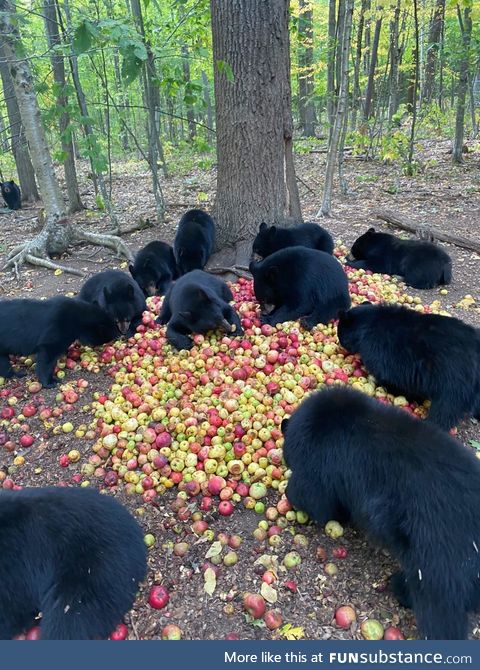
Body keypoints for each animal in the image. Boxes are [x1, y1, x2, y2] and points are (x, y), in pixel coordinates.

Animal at [284, 384, 480, 640]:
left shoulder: (322, 464)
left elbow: (315, 499)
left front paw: (293, 496)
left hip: (440, 559)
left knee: (438, 611)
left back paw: (401, 590)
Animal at [338, 304, 480, 430]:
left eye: (340, 335)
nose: (341, 344)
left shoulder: (383, 353)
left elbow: (392, 380)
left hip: (453, 378)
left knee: (445, 409)